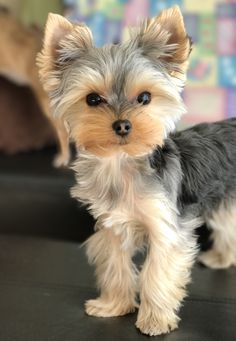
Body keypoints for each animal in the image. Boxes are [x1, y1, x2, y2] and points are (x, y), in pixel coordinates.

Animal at [37, 6, 236, 336]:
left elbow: (156, 274)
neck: (123, 163)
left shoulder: (166, 230)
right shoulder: (113, 226)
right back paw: (222, 258)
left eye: (145, 97)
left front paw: (154, 321)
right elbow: (115, 265)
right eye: (93, 99)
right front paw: (113, 306)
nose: (122, 125)